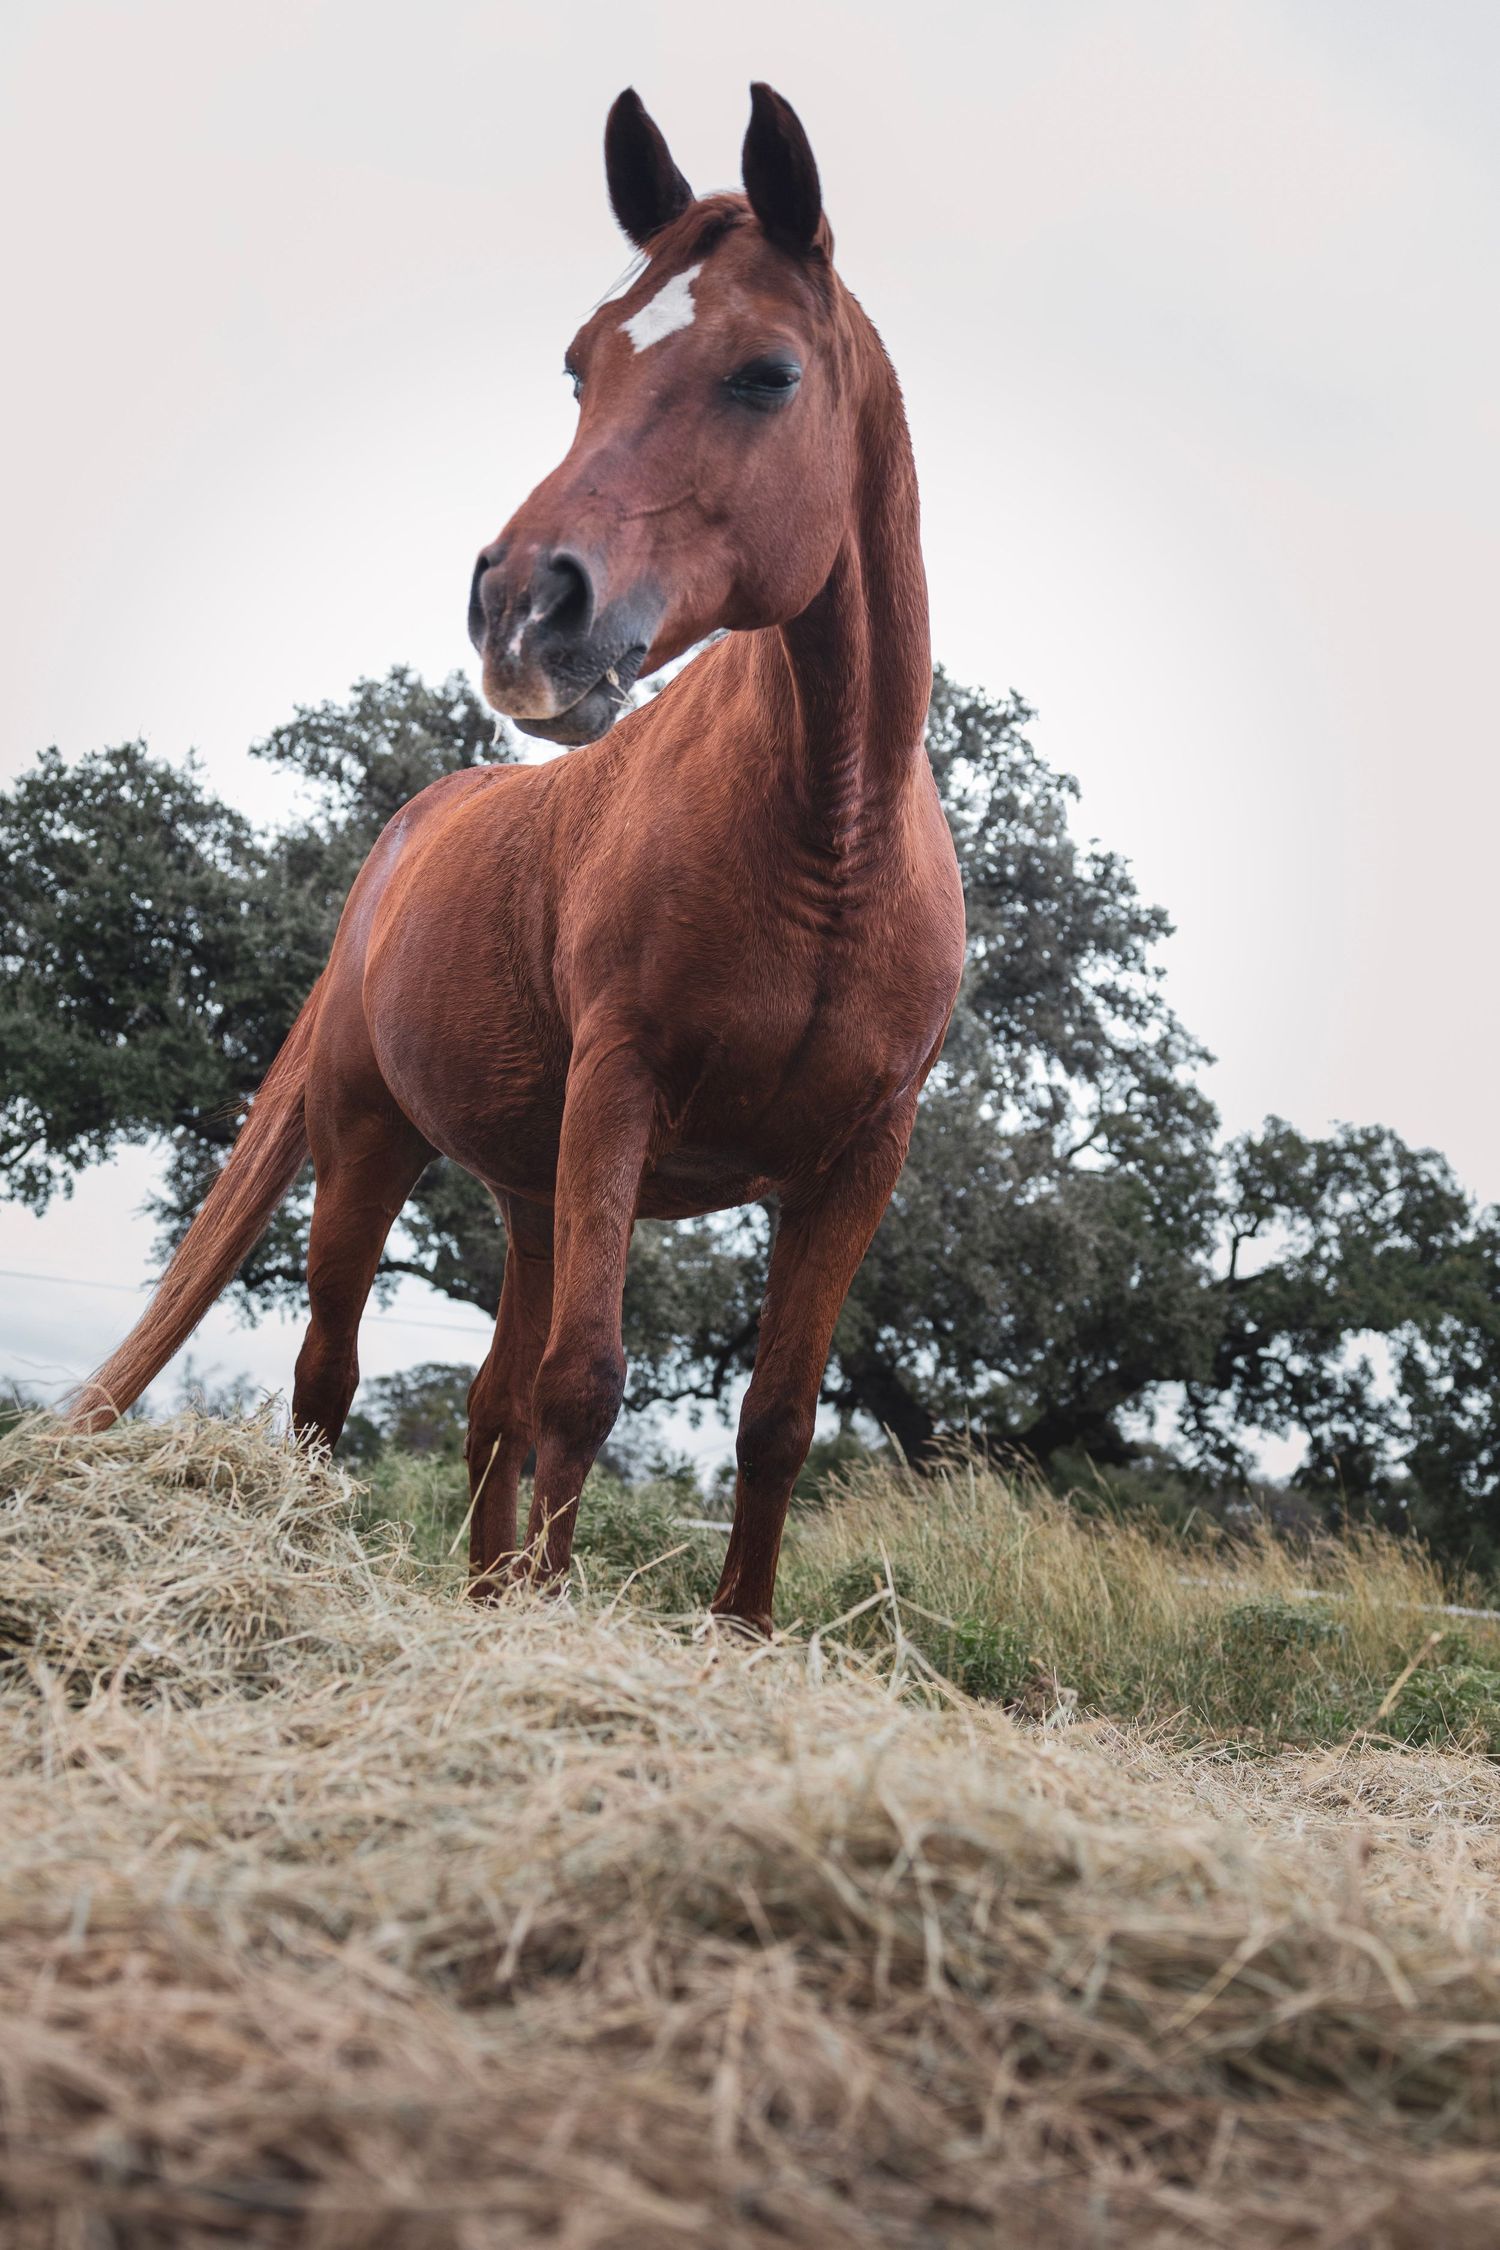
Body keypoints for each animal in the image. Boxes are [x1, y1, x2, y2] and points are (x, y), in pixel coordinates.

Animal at [74, 84, 967, 1633]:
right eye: (579, 366)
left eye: (766, 374)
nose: (519, 606)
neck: (828, 845)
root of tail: (403, 840)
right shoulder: (621, 1088)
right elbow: (586, 1385)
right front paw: (550, 1617)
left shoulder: (862, 1157)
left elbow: (776, 1419)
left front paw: (731, 1637)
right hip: (371, 1138)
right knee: (331, 1375)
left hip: (529, 1193)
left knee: (487, 1402)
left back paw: (482, 1590)